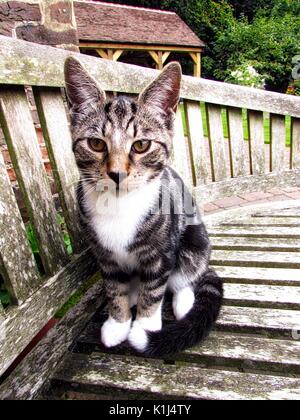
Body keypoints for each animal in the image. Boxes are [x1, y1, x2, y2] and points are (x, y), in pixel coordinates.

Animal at [63, 57, 223, 356]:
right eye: (96, 143)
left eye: (141, 145)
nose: (116, 174)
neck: (119, 204)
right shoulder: (104, 256)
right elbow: (114, 288)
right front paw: (118, 322)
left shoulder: (162, 253)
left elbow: (155, 289)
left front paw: (145, 326)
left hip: (194, 238)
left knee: (187, 275)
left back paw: (184, 301)